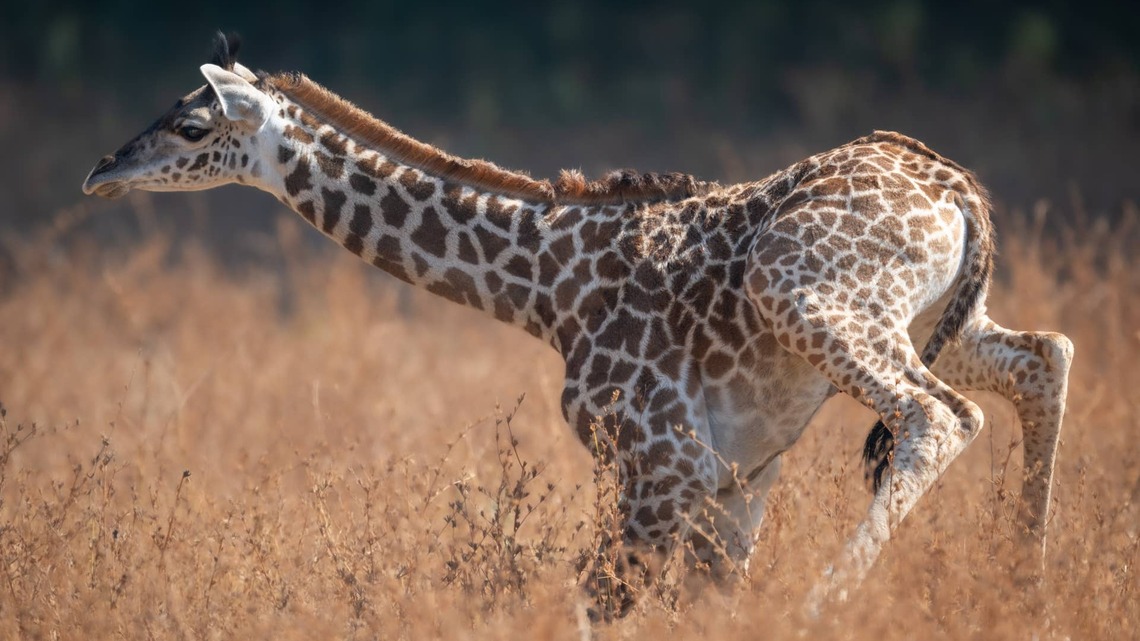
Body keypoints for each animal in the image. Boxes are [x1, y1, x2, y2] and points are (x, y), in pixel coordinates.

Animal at [81, 35, 1073, 619]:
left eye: (190, 124)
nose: (100, 171)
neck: (546, 290)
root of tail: (957, 188)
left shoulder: (664, 466)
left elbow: (591, 604)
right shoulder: (733, 482)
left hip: (810, 300)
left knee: (940, 413)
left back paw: (827, 609)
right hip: (937, 317)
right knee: (1043, 355)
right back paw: (1026, 592)